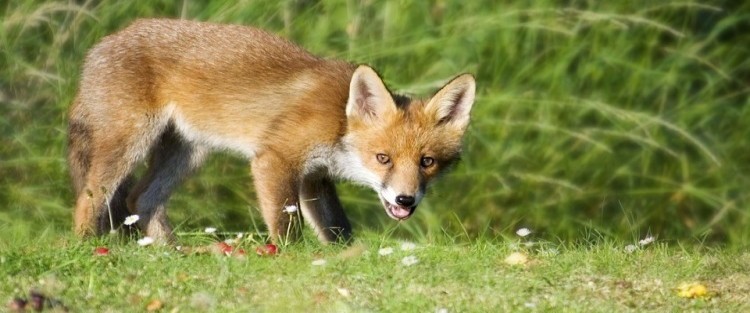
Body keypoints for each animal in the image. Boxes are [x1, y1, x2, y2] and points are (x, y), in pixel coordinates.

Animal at [69, 18, 476, 244]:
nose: (406, 200)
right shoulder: (276, 159)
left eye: (427, 162)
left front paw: (343, 257)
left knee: (141, 199)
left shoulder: (314, 176)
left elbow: (337, 229)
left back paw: (175, 252)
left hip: (188, 152)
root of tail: (98, 46)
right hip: (130, 142)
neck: (338, 120)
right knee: (90, 196)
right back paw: (87, 247)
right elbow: (287, 226)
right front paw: (288, 256)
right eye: (383, 158)